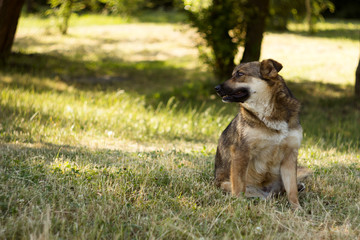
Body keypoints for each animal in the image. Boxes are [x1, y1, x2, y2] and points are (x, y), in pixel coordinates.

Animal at [214, 58, 310, 208]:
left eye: (240, 74)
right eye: (233, 74)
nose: (216, 88)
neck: (269, 113)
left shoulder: (290, 156)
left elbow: (292, 189)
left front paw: (297, 208)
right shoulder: (241, 152)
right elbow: (239, 187)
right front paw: (238, 206)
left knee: (284, 189)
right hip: (227, 184)